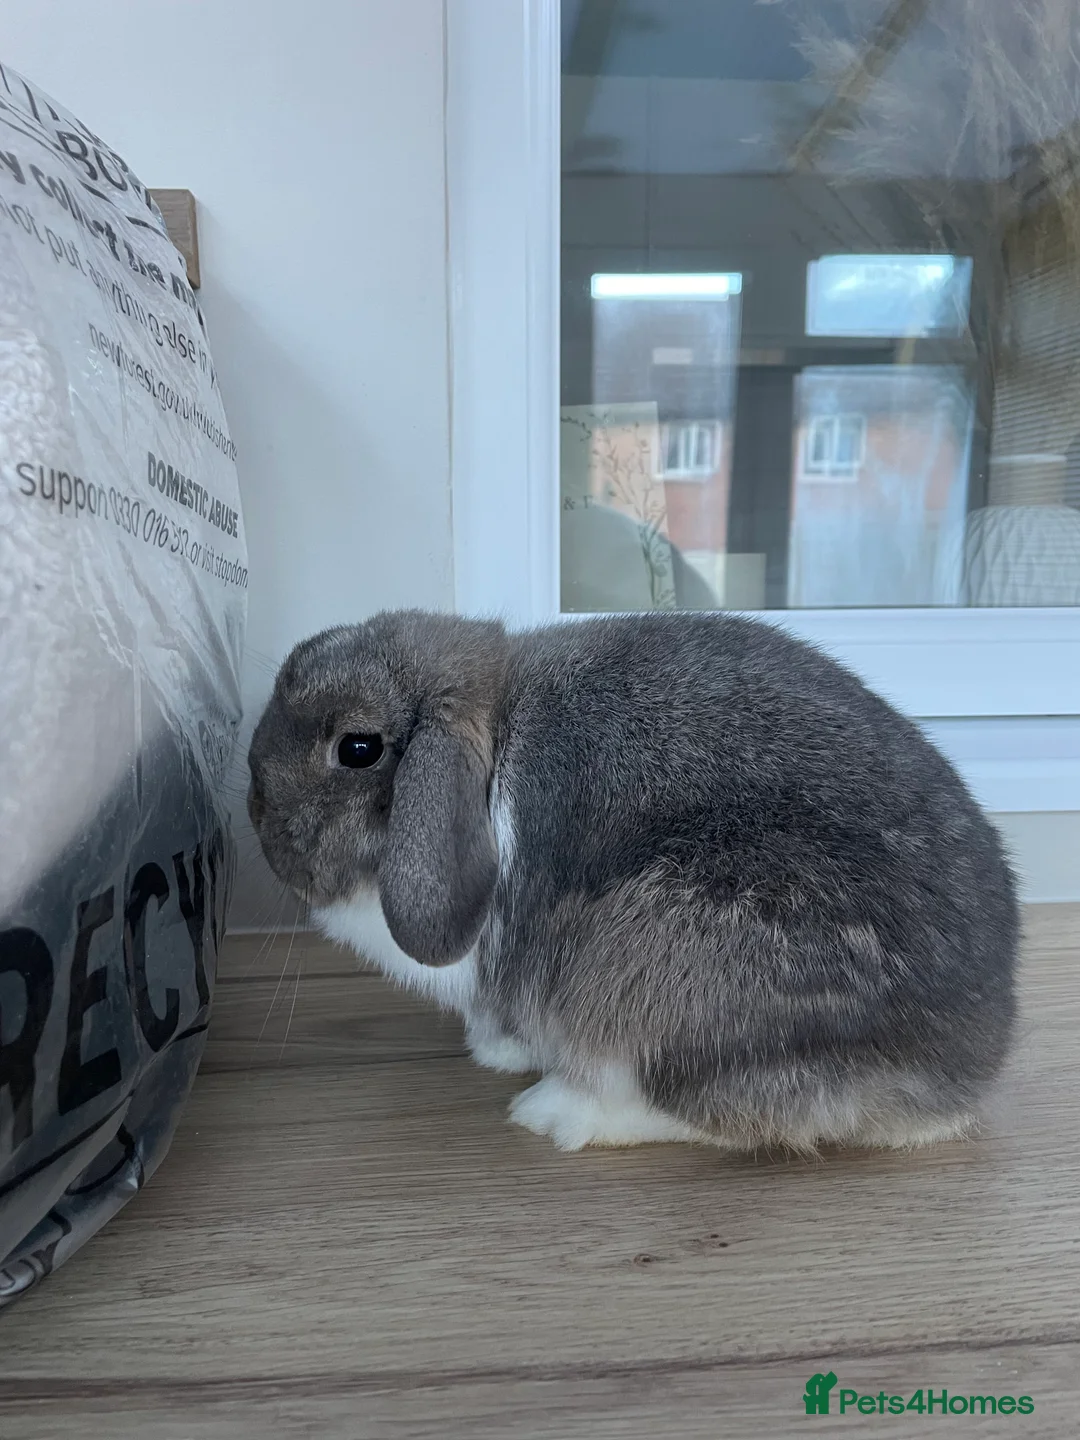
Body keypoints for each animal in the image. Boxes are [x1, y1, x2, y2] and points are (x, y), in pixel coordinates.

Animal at [247, 608, 1018, 1154]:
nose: (254, 811)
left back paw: (558, 1113)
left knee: (706, 1111)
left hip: (655, 959)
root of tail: (964, 1074)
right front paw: (499, 1051)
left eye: (357, 748)